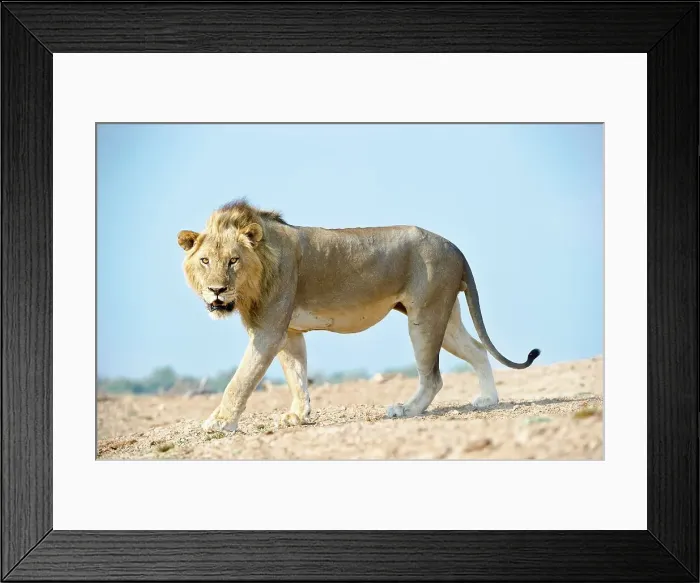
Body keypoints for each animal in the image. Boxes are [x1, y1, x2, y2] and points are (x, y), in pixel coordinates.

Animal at [178, 199, 540, 432]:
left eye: (233, 260)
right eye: (205, 260)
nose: (216, 291)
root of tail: (455, 247)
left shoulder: (268, 331)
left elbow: (240, 380)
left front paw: (219, 423)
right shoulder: (289, 332)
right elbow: (297, 376)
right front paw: (298, 416)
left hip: (425, 316)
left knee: (433, 376)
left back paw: (406, 409)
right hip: (445, 317)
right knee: (477, 350)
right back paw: (488, 400)